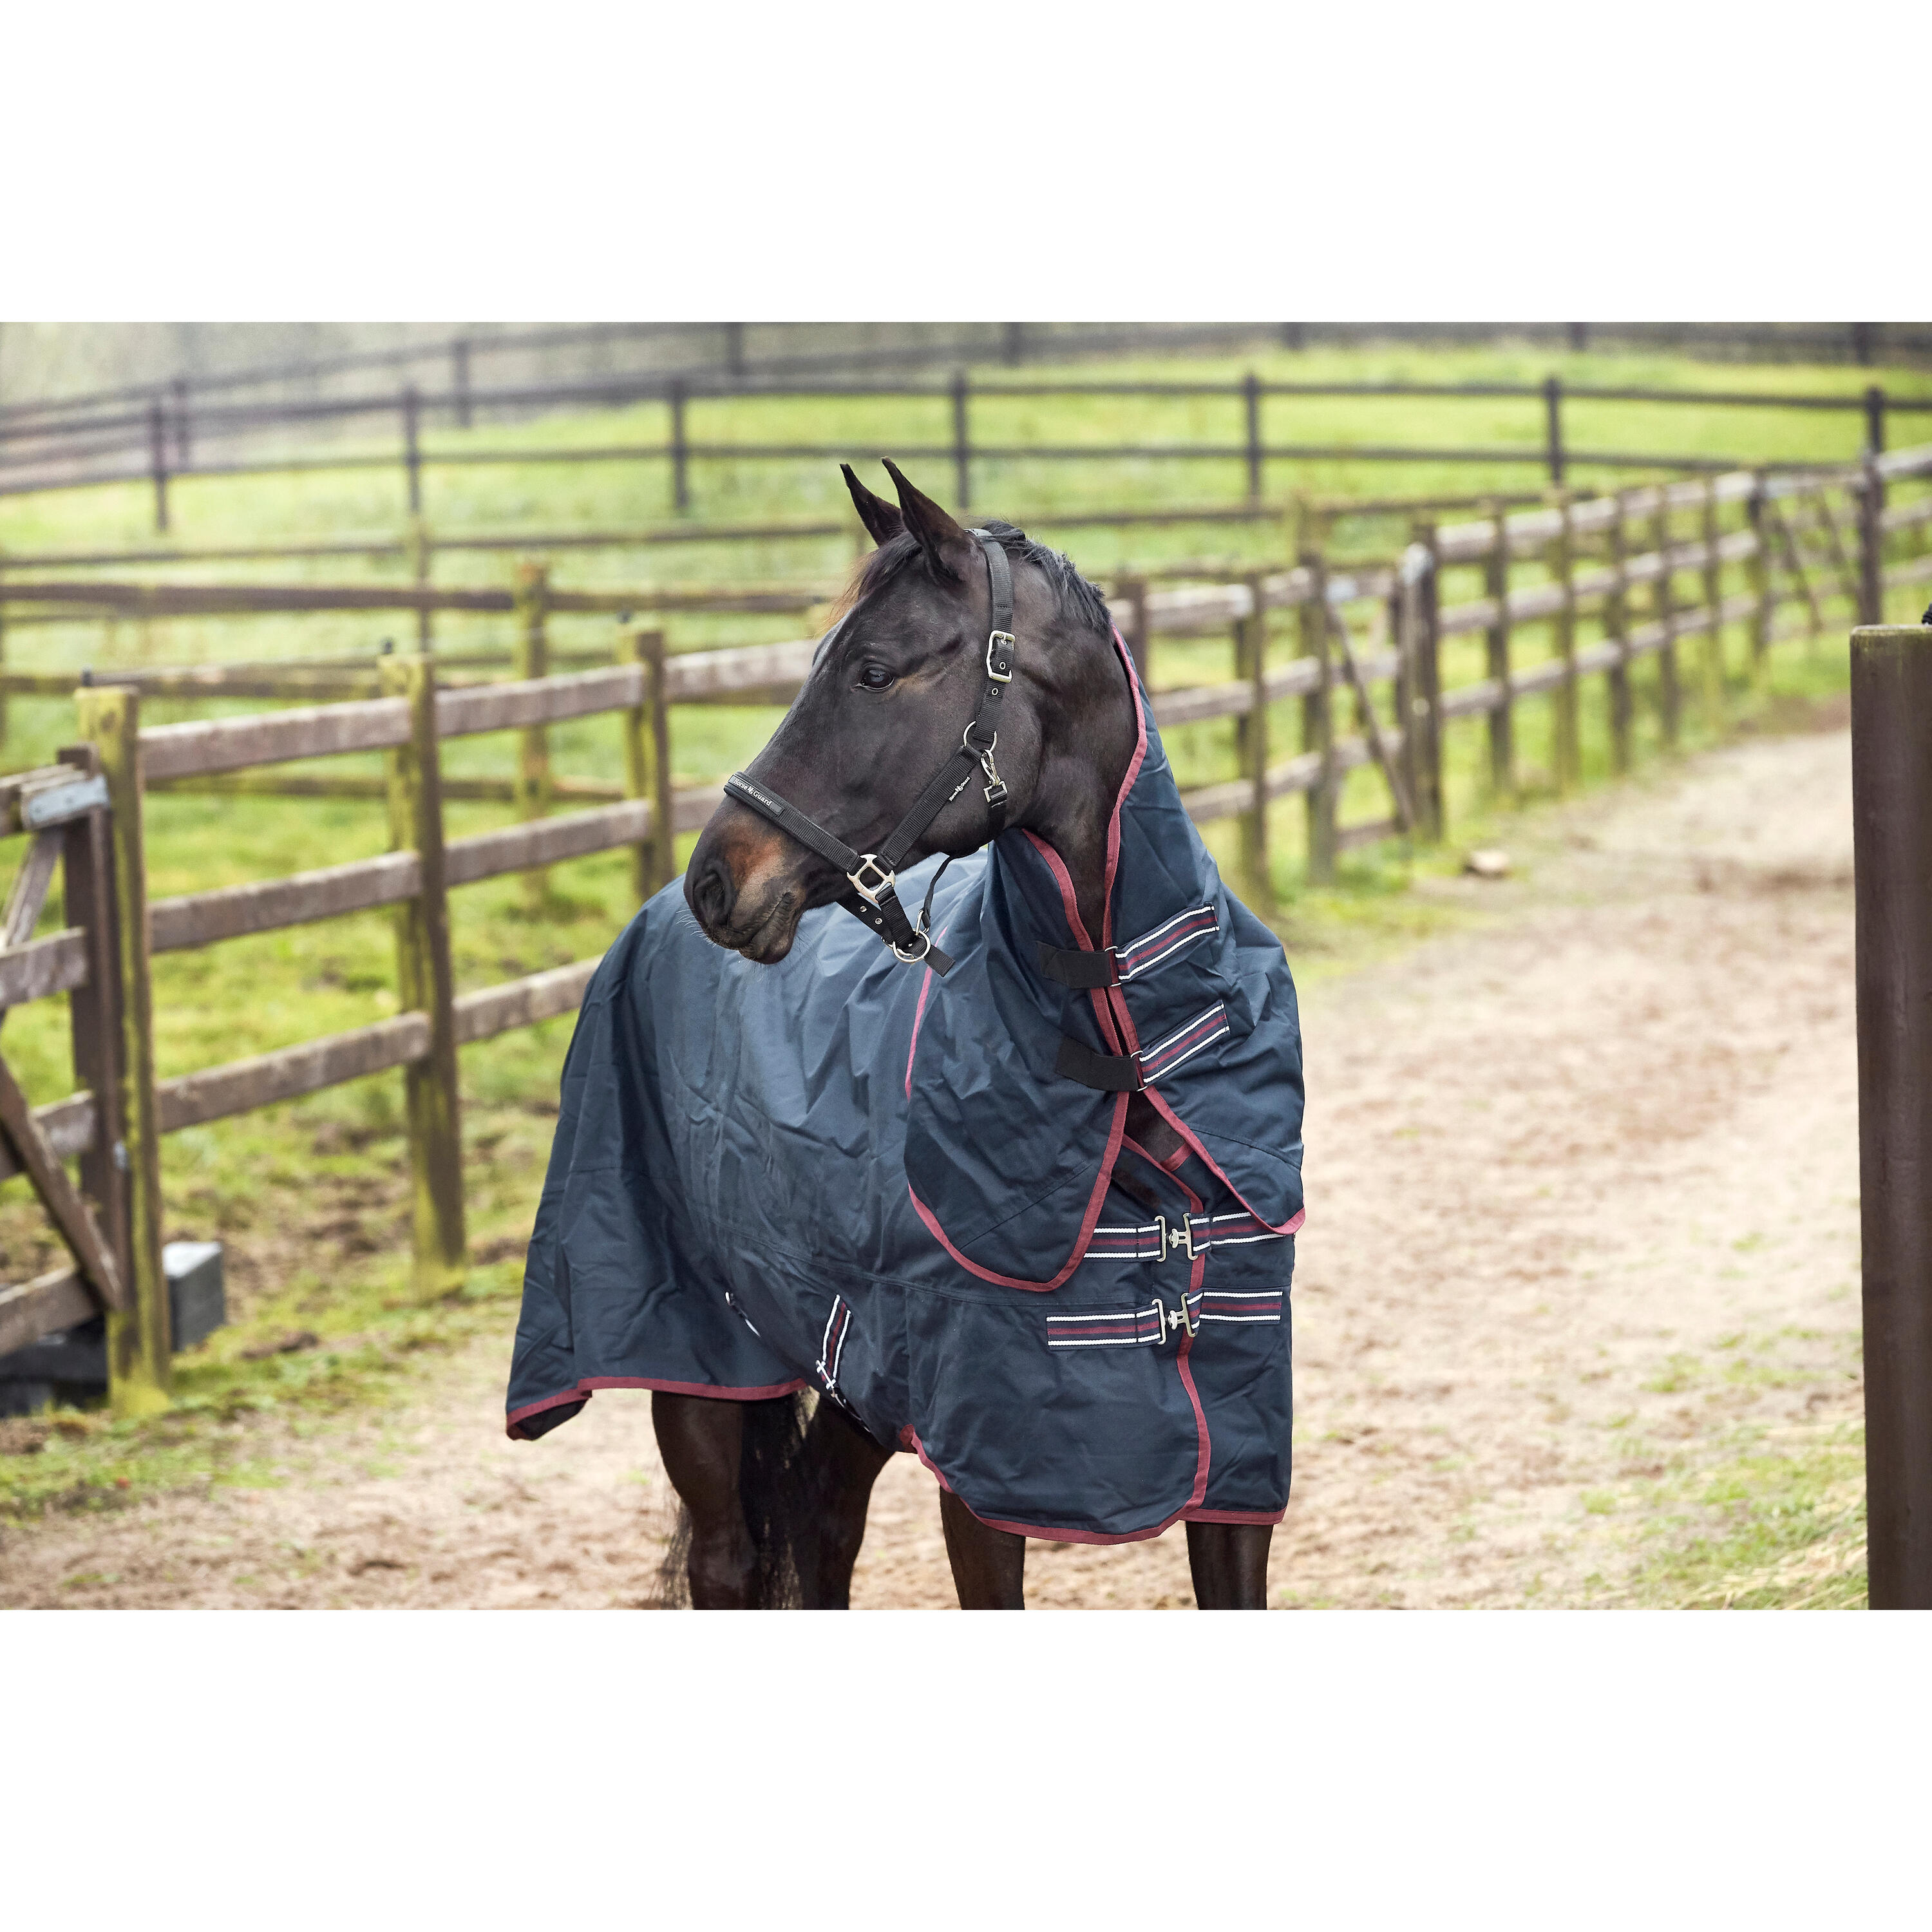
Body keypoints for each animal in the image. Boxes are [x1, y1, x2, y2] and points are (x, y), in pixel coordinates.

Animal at [505, 461, 1306, 1608]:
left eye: (874, 671)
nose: (718, 881)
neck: (1123, 1058)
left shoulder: (1231, 1464)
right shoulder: (984, 1469)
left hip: (859, 1378)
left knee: (823, 1527)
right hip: (701, 1360)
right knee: (730, 1561)